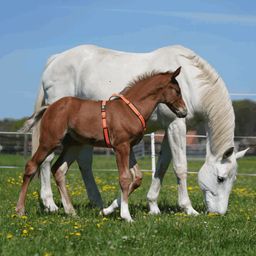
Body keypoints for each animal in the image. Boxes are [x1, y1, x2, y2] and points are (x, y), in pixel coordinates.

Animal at [17, 67, 187, 221]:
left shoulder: (129, 147)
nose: (184, 112)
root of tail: (50, 107)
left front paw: (106, 211)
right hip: (49, 141)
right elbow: (124, 178)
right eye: (177, 91)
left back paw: (70, 211)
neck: (130, 110)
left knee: (58, 170)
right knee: (31, 166)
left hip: (74, 145)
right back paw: (20, 210)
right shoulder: (120, 147)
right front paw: (126, 216)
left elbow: (137, 178)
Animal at [32, 44, 248, 216]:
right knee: (46, 161)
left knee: (84, 163)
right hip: (57, 134)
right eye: (220, 178)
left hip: (80, 137)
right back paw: (50, 205)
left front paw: (150, 206)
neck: (190, 81)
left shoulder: (169, 128)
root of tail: (55, 59)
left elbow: (161, 167)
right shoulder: (176, 125)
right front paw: (188, 209)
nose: (218, 213)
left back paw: (97, 203)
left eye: (234, 180)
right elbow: (180, 168)